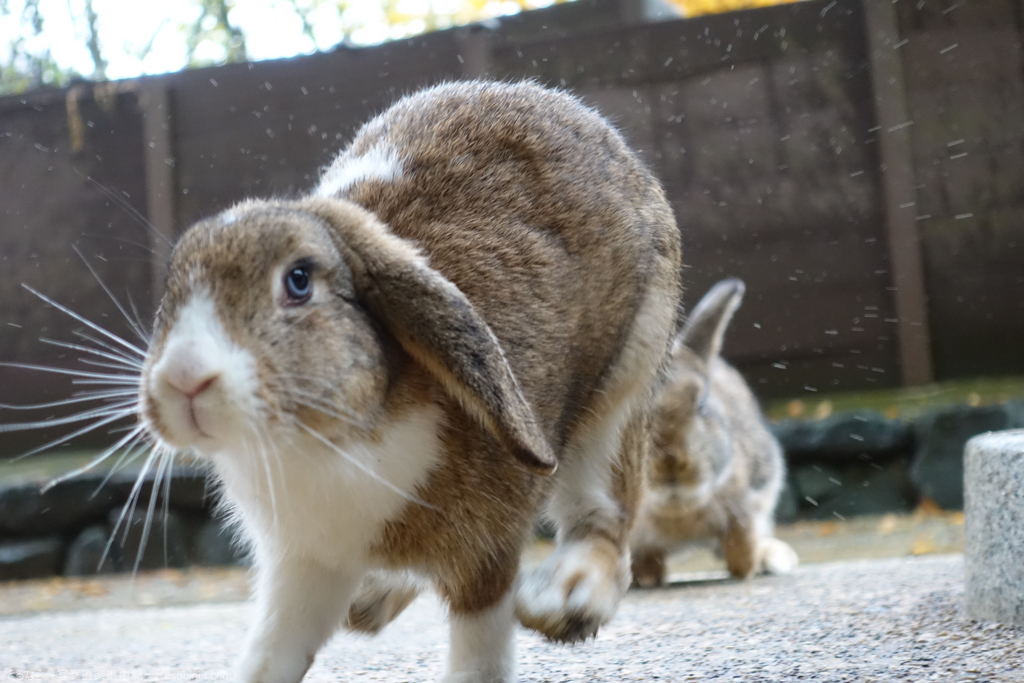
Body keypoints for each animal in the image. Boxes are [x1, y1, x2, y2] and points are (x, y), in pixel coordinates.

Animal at [136, 81, 679, 683]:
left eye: (298, 281)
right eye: (173, 289)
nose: (183, 379)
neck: (327, 442)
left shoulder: (485, 557)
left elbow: (479, 655)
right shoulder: (302, 564)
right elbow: (272, 653)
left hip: (625, 383)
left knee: (605, 517)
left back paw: (564, 601)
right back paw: (369, 600)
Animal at [626, 278, 794, 589]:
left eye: (701, 405)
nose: (670, 463)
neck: (677, 507)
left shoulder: (744, 512)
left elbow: (741, 547)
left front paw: (746, 570)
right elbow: (645, 559)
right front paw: (646, 579)